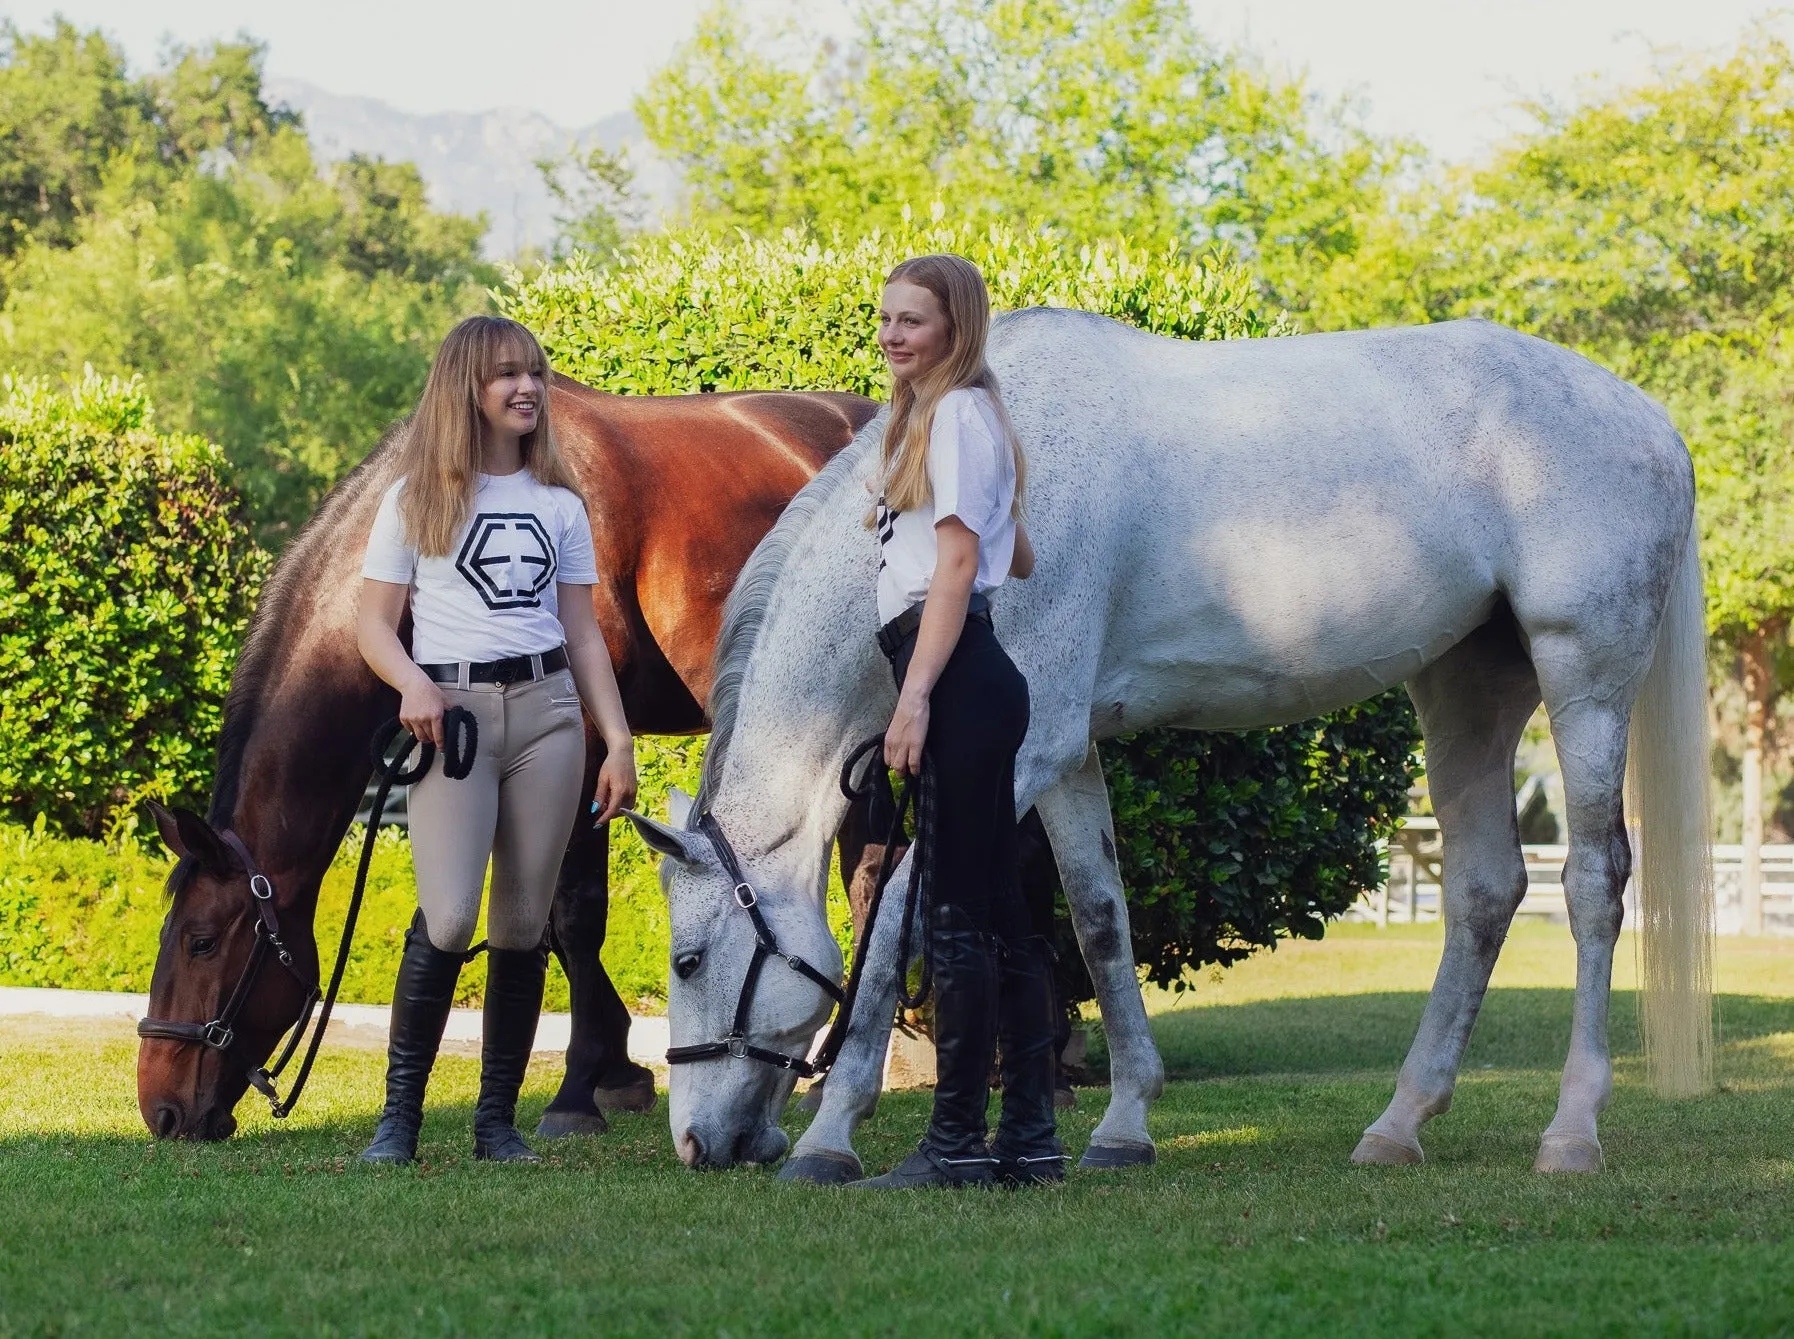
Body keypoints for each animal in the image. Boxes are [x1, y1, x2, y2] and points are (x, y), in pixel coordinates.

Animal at [136, 375, 879, 1134]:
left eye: (200, 940)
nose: (161, 1111)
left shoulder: (583, 743)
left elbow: (575, 914)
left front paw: (579, 1090)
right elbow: (542, 916)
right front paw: (618, 1069)